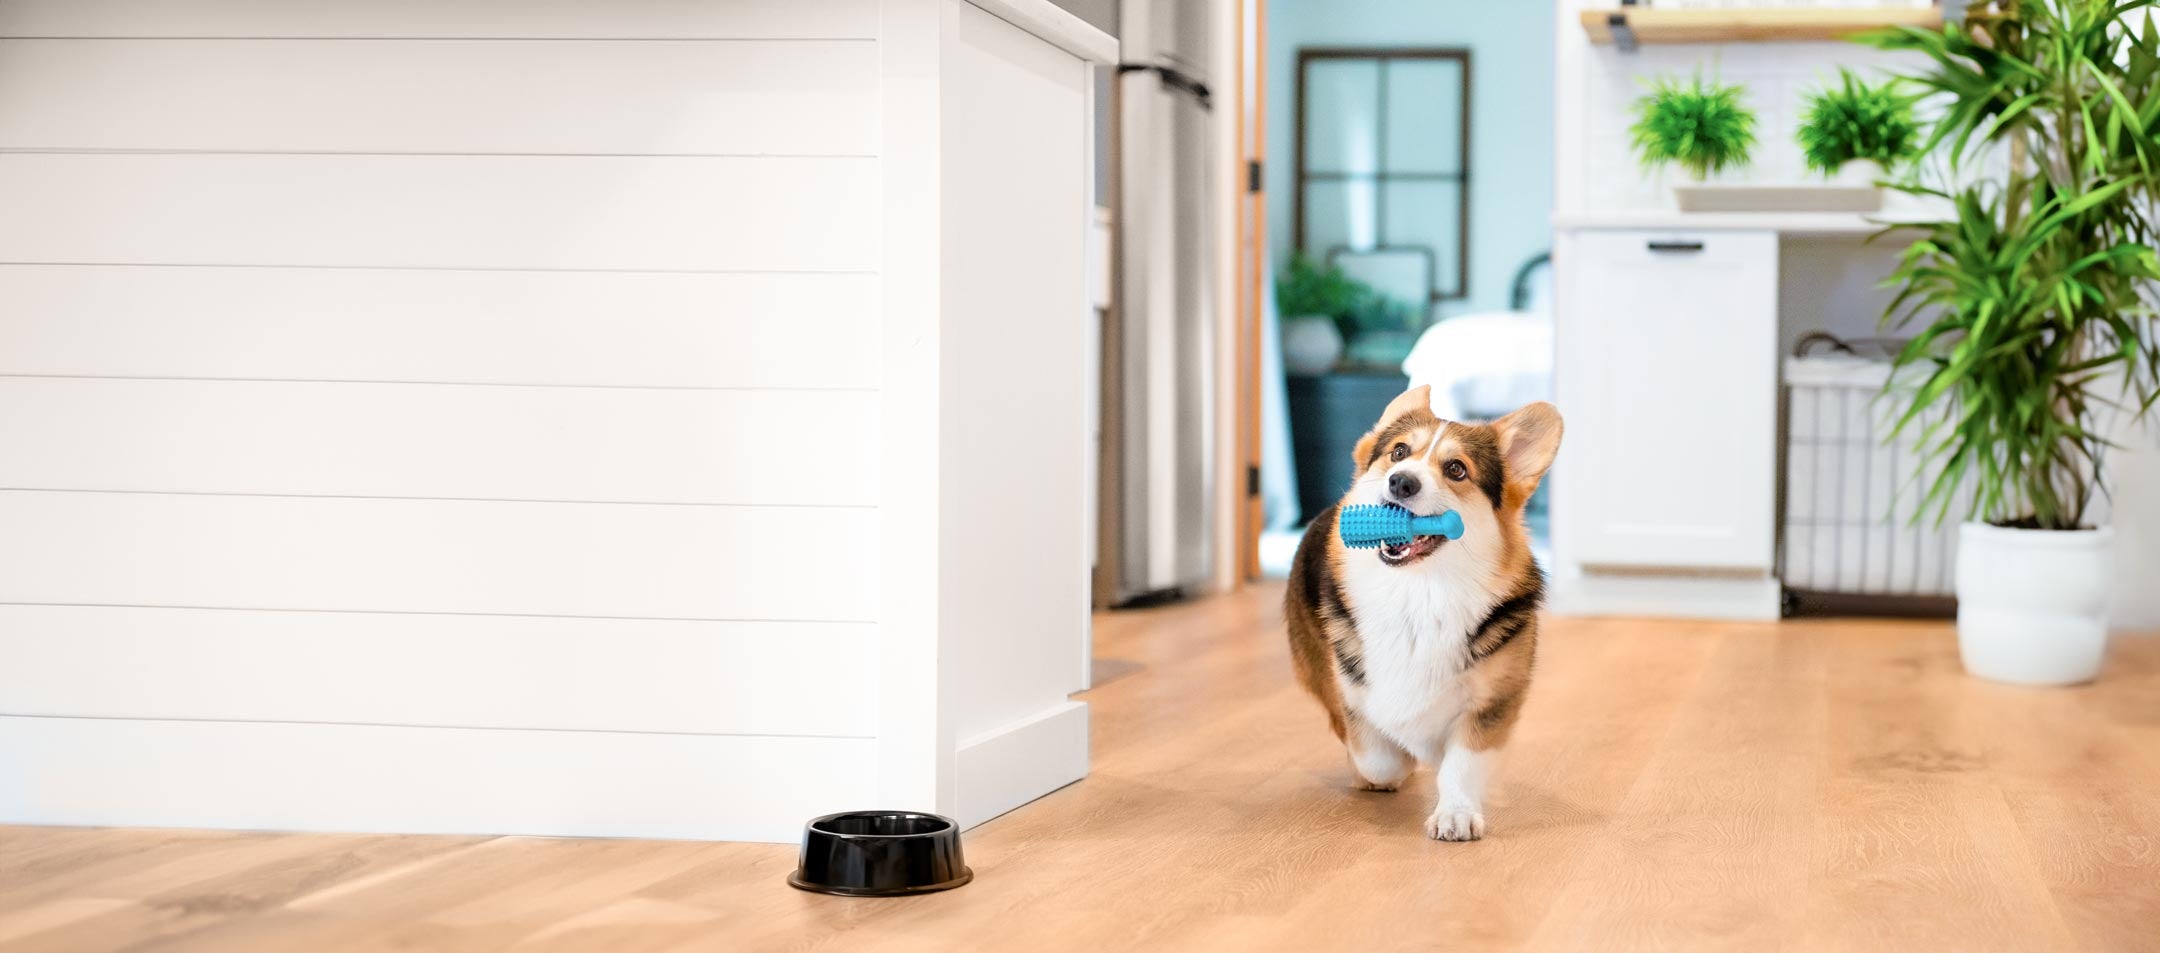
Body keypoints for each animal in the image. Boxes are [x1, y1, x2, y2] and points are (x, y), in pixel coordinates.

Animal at [1278, 386, 1572, 838]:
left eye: (1456, 469)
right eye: (1399, 452)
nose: (1401, 481)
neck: (1419, 593)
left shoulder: (1491, 704)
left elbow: (1461, 764)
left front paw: (1455, 813)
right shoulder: (1353, 696)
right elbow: (1379, 757)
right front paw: (1399, 762)